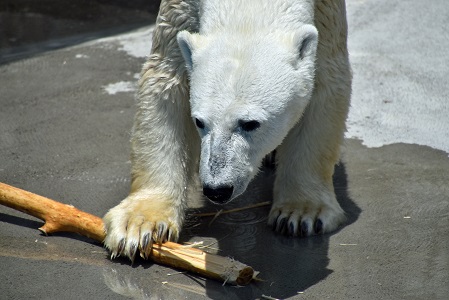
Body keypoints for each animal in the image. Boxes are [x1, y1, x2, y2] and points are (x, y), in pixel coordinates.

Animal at [104, 0, 350, 262]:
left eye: (250, 123)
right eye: (199, 121)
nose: (217, 190)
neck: (251, 7)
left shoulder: (327, 14)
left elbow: (325, 83)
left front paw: (302, 213)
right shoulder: (178, 11)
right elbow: (166, 83)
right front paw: (139, 224)